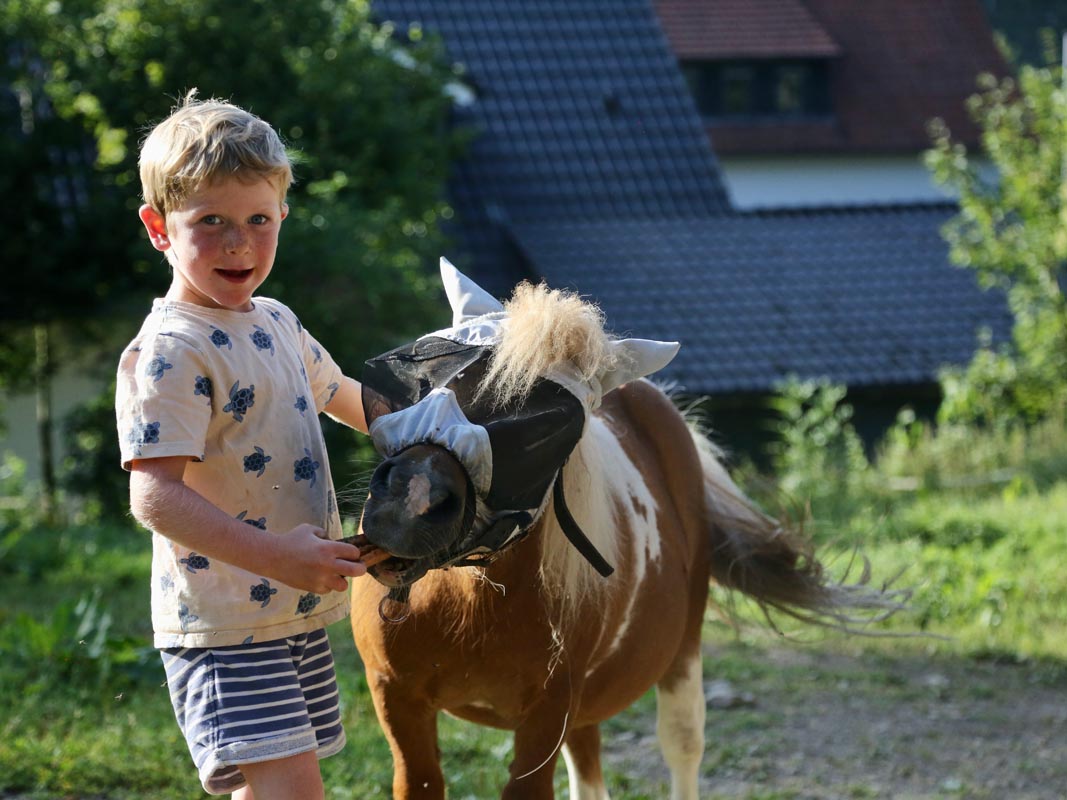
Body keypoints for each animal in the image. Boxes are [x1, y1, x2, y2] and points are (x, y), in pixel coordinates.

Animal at [349, 259, 900, 799]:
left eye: (544, 430)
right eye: (422, 372)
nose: (411, 500)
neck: (467, 605)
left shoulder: (547, 716)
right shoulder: (397, 700)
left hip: (680, 661)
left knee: (683, 749)